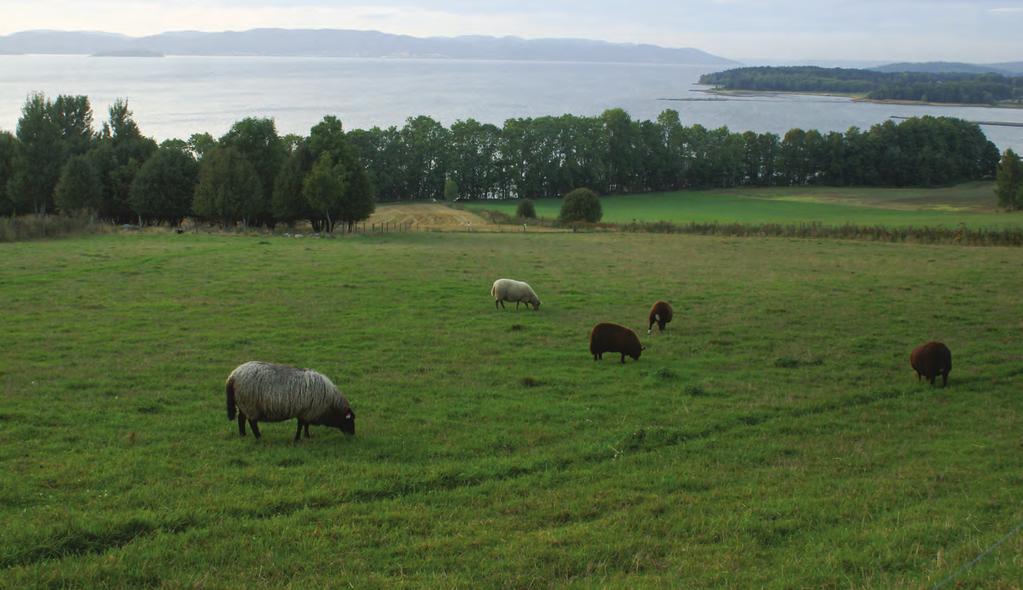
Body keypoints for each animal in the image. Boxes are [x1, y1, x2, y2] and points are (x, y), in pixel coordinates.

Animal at [225, 359, 356, 441]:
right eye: (350, 421)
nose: (353, 435)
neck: (330, 405)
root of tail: (233, 376)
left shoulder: (306, 411)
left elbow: (305, 425)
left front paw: (307, 436)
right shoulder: (306, 411)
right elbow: (301, 425)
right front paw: (297, 438)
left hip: (242, 403)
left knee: (241, 419)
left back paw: (243, 435)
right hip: (250, 404)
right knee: (252, 422)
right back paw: (258, 437)